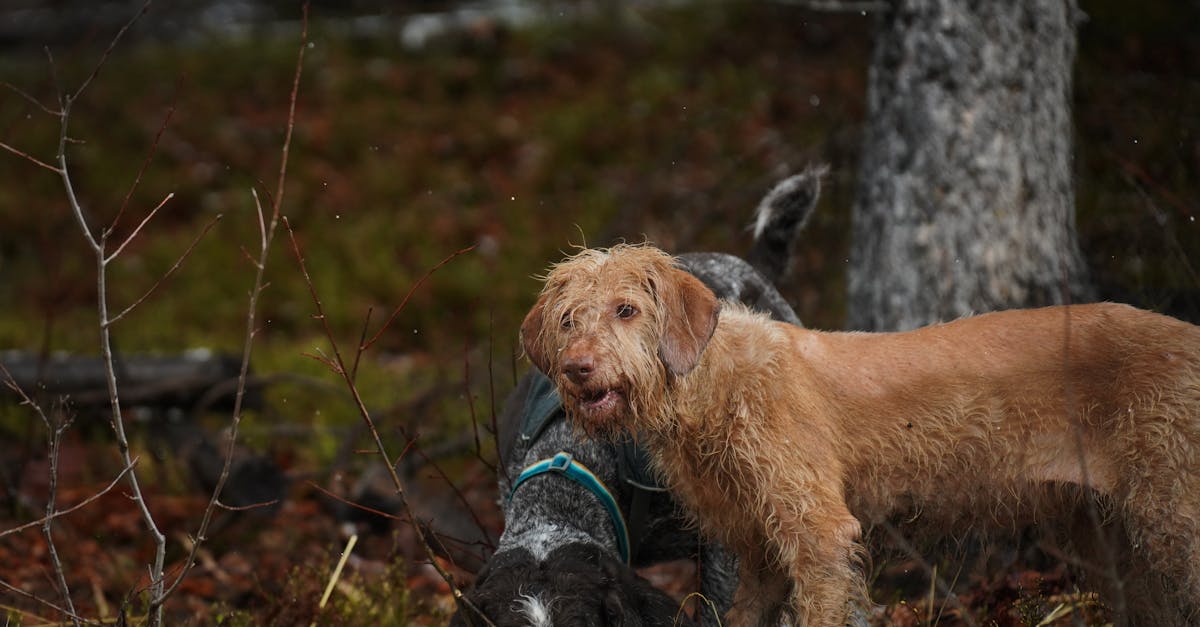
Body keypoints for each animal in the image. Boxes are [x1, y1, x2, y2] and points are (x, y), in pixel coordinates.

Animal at [520, 243, 1200, 624]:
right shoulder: (757, 547)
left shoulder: (818, 532)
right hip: (1107, 534)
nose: (578, 368)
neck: (716, 386)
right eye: (568, 319)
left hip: (1172, 515)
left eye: (627, 310)